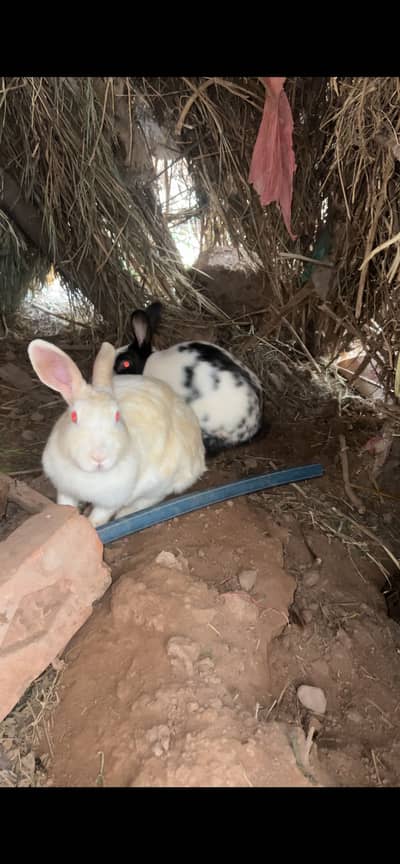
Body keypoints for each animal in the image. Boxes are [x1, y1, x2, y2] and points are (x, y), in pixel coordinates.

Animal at [27, 338, 206, 528]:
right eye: (74, 416)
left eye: (117, 415)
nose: (99, 457)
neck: (91, 475)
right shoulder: (65, 490)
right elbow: (66, 505)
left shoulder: (110, 502)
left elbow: (98, 518)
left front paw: (92, 525)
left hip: (164, 482)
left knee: (151, 499)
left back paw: (125, 514)